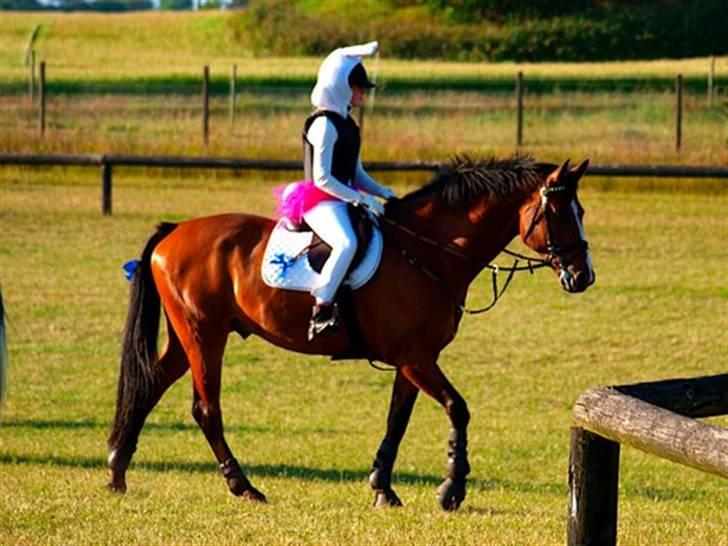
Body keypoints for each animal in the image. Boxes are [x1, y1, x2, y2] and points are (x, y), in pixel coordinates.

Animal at [109, 155, 596, 508]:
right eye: (559, 213)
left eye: (581, 210)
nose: (583, 276)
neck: (426, 250)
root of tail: (174, 231)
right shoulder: (416, 358)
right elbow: (458, 409)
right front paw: (451, 489)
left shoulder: (413, 359)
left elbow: (397, 420)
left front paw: (383, 487)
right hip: (205, 335)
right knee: (206, 409)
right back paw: (243, 486)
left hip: (188, 337)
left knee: (149, 385)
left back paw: (117, 470)